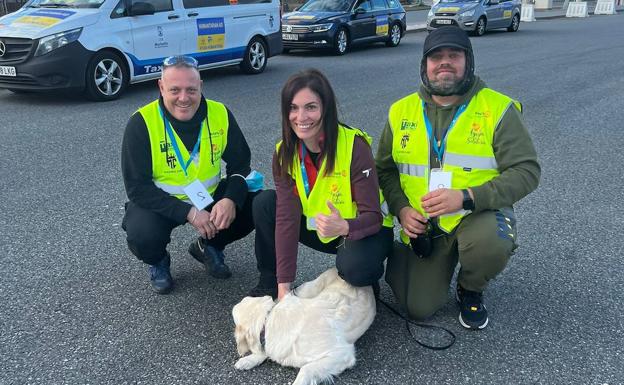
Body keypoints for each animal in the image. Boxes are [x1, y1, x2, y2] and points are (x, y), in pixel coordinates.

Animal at [230, 268, 372, 384]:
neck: (269, 320)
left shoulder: (342, 353)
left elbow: (306, 369)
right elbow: (264, 351)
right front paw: (248, 360)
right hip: (306, 289)